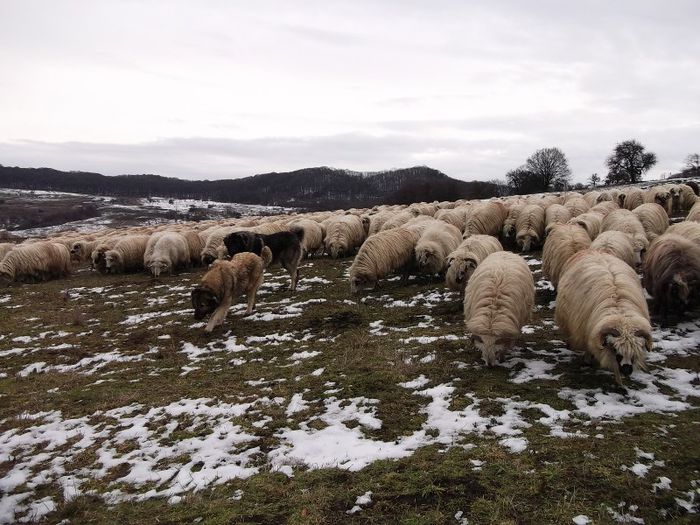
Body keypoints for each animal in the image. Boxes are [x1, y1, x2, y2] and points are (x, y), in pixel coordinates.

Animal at [556, 248, 652, 382]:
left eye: (635, 350)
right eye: (615, 349)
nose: (627, 370)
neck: (619, 311)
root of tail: (592, 250)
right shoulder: (586, 330)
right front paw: (587, 360)